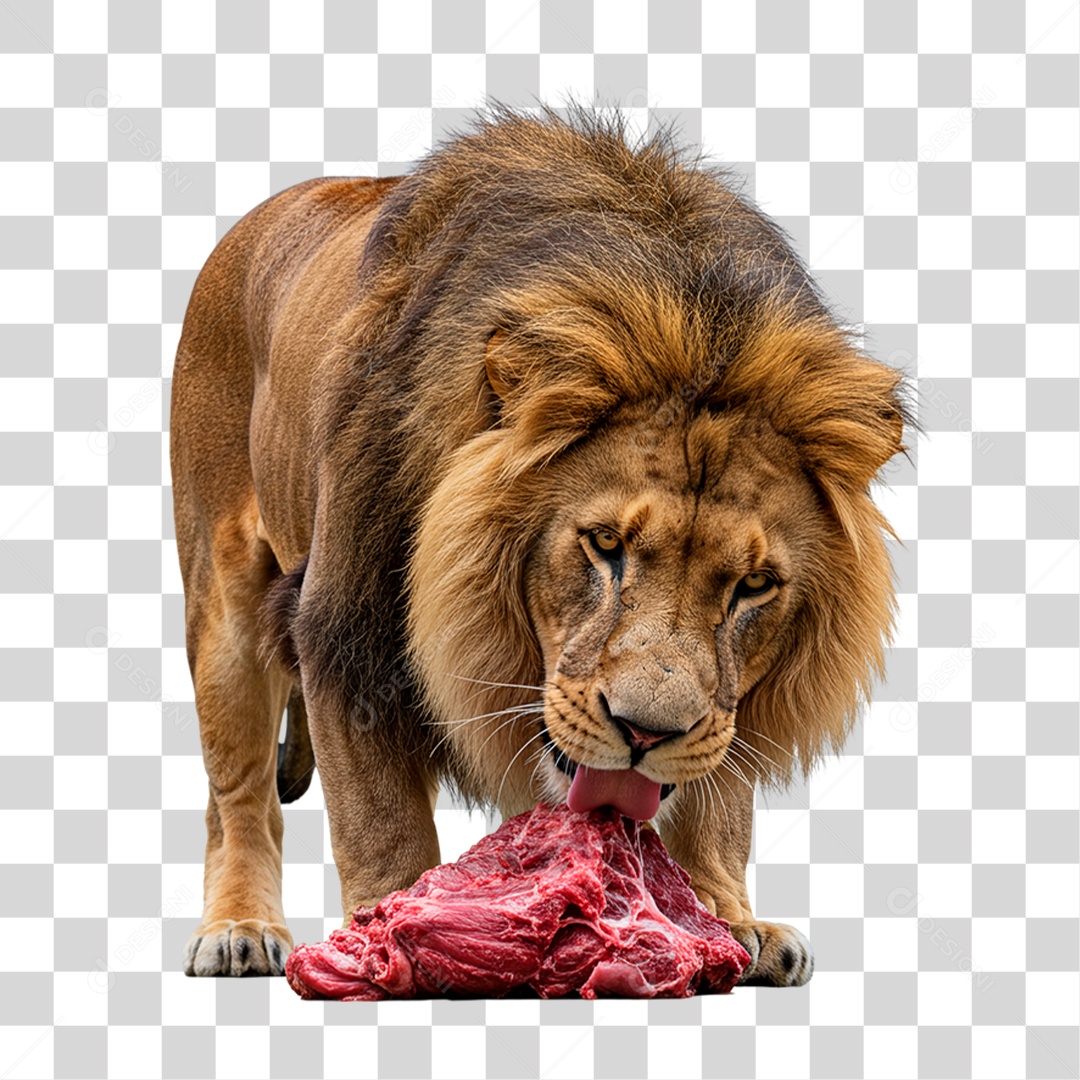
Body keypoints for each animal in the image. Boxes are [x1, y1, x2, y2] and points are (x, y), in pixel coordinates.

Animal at [171, 106, 912, 988]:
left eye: (754, 586)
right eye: (604, 544)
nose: (646, 733)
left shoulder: (730, 708)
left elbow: (720, 799)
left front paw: (724, 916)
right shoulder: (344, 631)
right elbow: (382, 821)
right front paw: (388, 931)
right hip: (225, 603)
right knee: (236, 793)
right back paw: (240, 927)